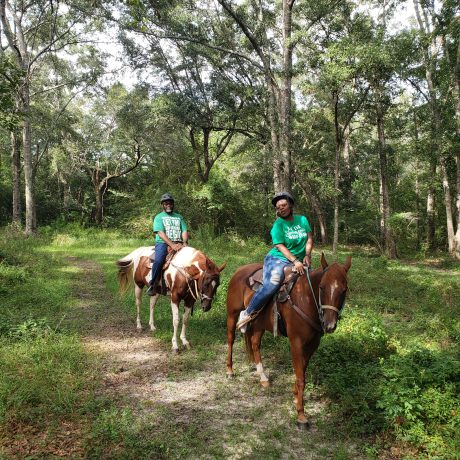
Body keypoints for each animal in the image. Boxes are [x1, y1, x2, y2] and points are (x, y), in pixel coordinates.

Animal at [226, 253, 352, 426]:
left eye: (344, 290)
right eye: (322, 287)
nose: (329, 325)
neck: (306, 299)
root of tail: (240, 270)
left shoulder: (313, 344)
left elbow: (302, 370)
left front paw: (296, 397)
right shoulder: (296, 342)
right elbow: (301, 377)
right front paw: (301, 415)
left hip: (259, 324)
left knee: (255, 344)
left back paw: (263, 377)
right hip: (232, 314)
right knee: (231, 339)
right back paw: (230, 370)